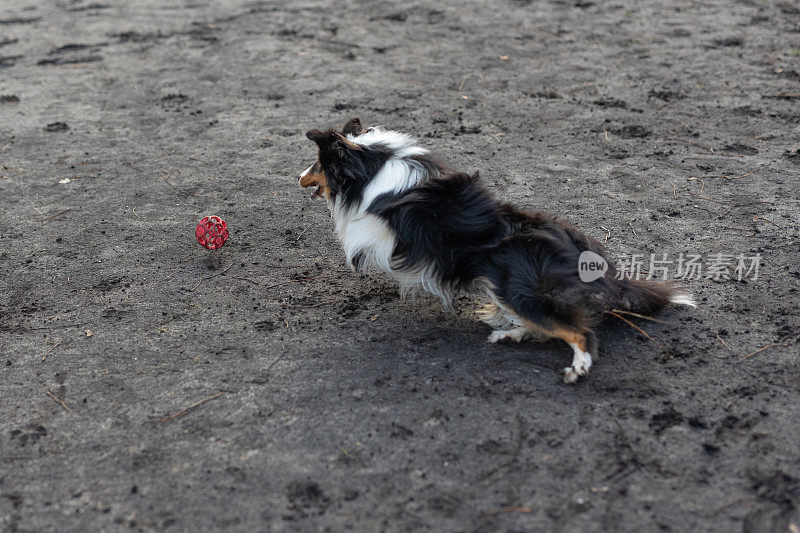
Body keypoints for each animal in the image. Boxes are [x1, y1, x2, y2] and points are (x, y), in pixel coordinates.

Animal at [296, 118, 692, 380]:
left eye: (318, 163)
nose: (298, 177)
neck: (372, 164)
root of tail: (592, 261)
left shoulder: (387, 228)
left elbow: (359, 230)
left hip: (520, 292)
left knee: (580, 332)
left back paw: (576, 366)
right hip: (508, 291)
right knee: (550, 325)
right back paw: (509, 332)